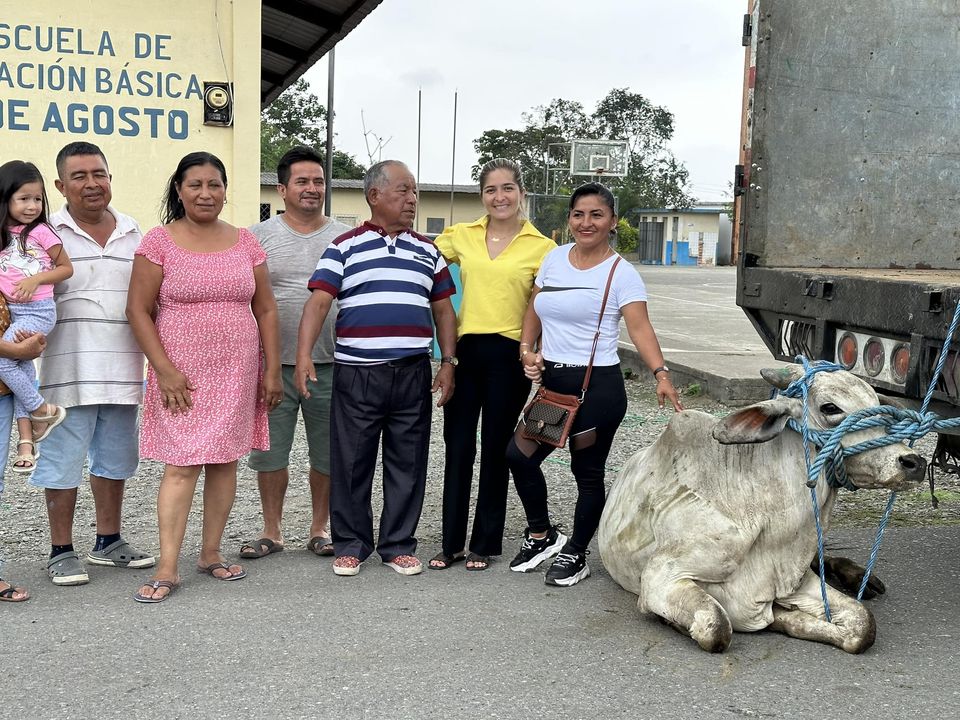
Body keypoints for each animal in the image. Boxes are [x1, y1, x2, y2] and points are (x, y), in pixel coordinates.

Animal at [597, 364, 926, 654]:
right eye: (830, 408)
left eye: (876, 403)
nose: (913, 462)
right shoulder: (660, 577)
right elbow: (718, 626)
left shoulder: (797, 580)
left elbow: (862, 625)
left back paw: (860, 577)